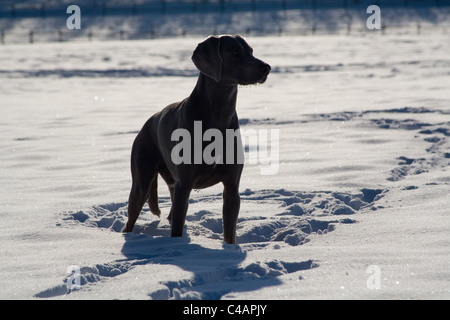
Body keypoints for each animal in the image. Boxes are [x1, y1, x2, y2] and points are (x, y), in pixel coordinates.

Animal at [122, 35, 270, 244]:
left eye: (250, 51)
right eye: (234, 53)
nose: (267, 67)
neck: (218, 114)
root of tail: (147, 123)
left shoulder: (232, 187)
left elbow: (229, 231)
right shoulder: (185, 184)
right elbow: (176, 228)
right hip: (142, 177)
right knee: (133, 215)